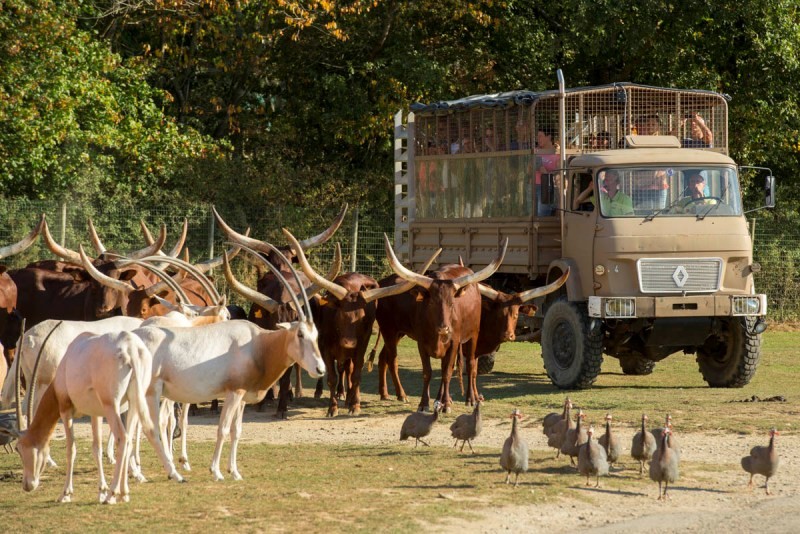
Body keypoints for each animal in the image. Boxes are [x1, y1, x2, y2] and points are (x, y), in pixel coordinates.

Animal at [382, 236, 506, 414]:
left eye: (452, 303)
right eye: (432, 302)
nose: (444, 328)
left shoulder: (454, 342)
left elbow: (447, 372)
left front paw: (446, 404)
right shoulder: (422, 344)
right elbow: (427, 372)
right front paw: (424, 403)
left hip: (473, 335)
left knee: (470, 366)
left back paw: (469, 399)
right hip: (390, 331)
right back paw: (432, 399)